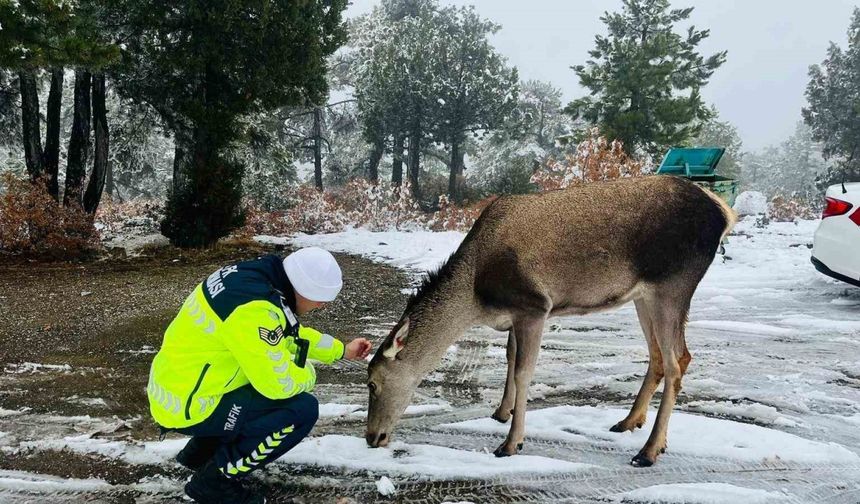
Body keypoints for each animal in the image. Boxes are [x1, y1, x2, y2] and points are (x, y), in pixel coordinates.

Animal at [366, 175, 736, 466]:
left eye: (372, 383)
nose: (371, 438)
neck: (476, 296)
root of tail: (724, 213)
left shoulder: (534, 305)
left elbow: (523, 371)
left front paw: (511, 443)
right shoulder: (515, 314)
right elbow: (510, 358)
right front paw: (502, 413)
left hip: (672, 285)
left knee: (676, 362)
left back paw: (649, 450)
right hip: (643, 296)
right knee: (663, 355)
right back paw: (630, 422)